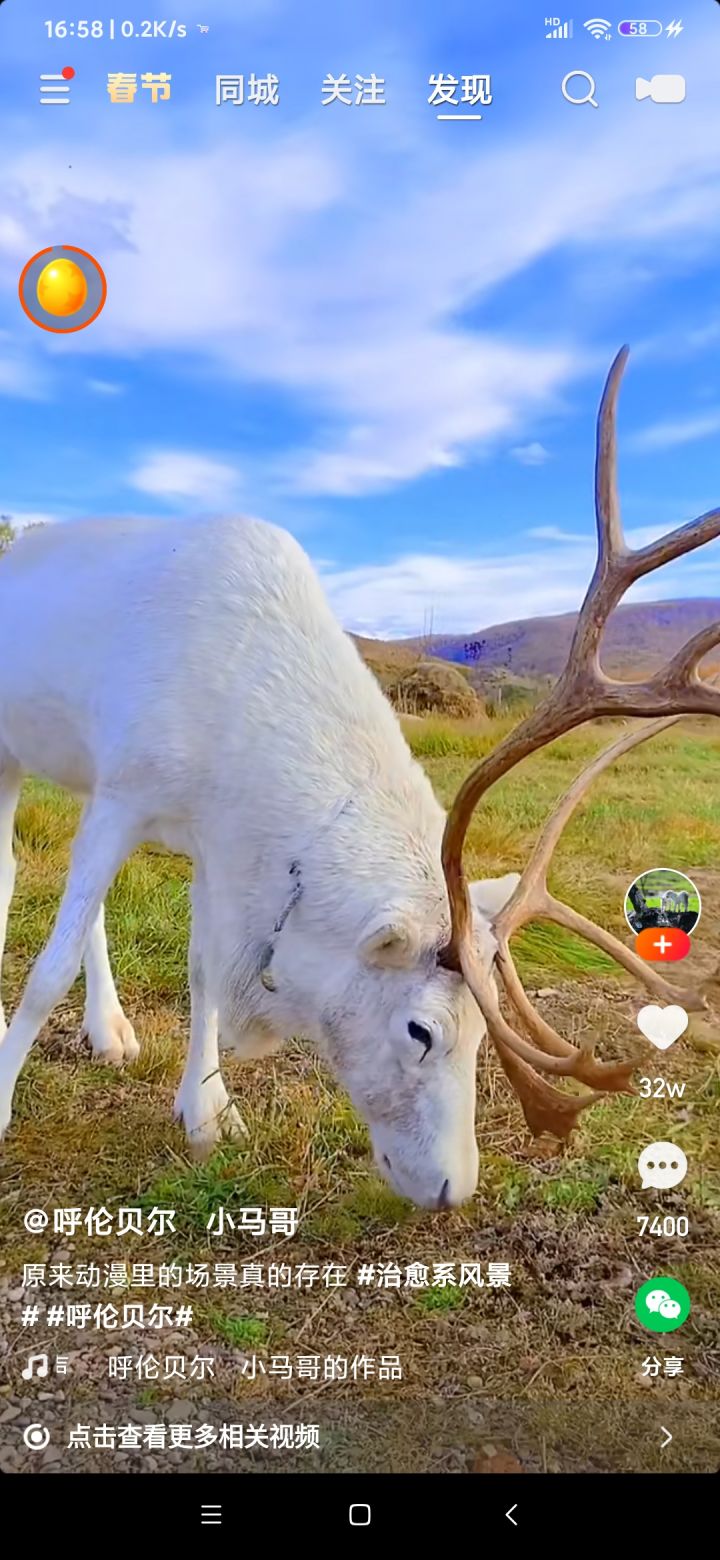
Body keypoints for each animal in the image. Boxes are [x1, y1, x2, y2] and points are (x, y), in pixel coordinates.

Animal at [0, 347, 718, 1208]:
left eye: (486, 1034)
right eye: (421, 1030)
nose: (452, 1187)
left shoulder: (203, 834)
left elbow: (201, 968)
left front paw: (209, 1112)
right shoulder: (129, 791)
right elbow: (48, 968)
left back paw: (109, 1031)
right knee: (12, 873)